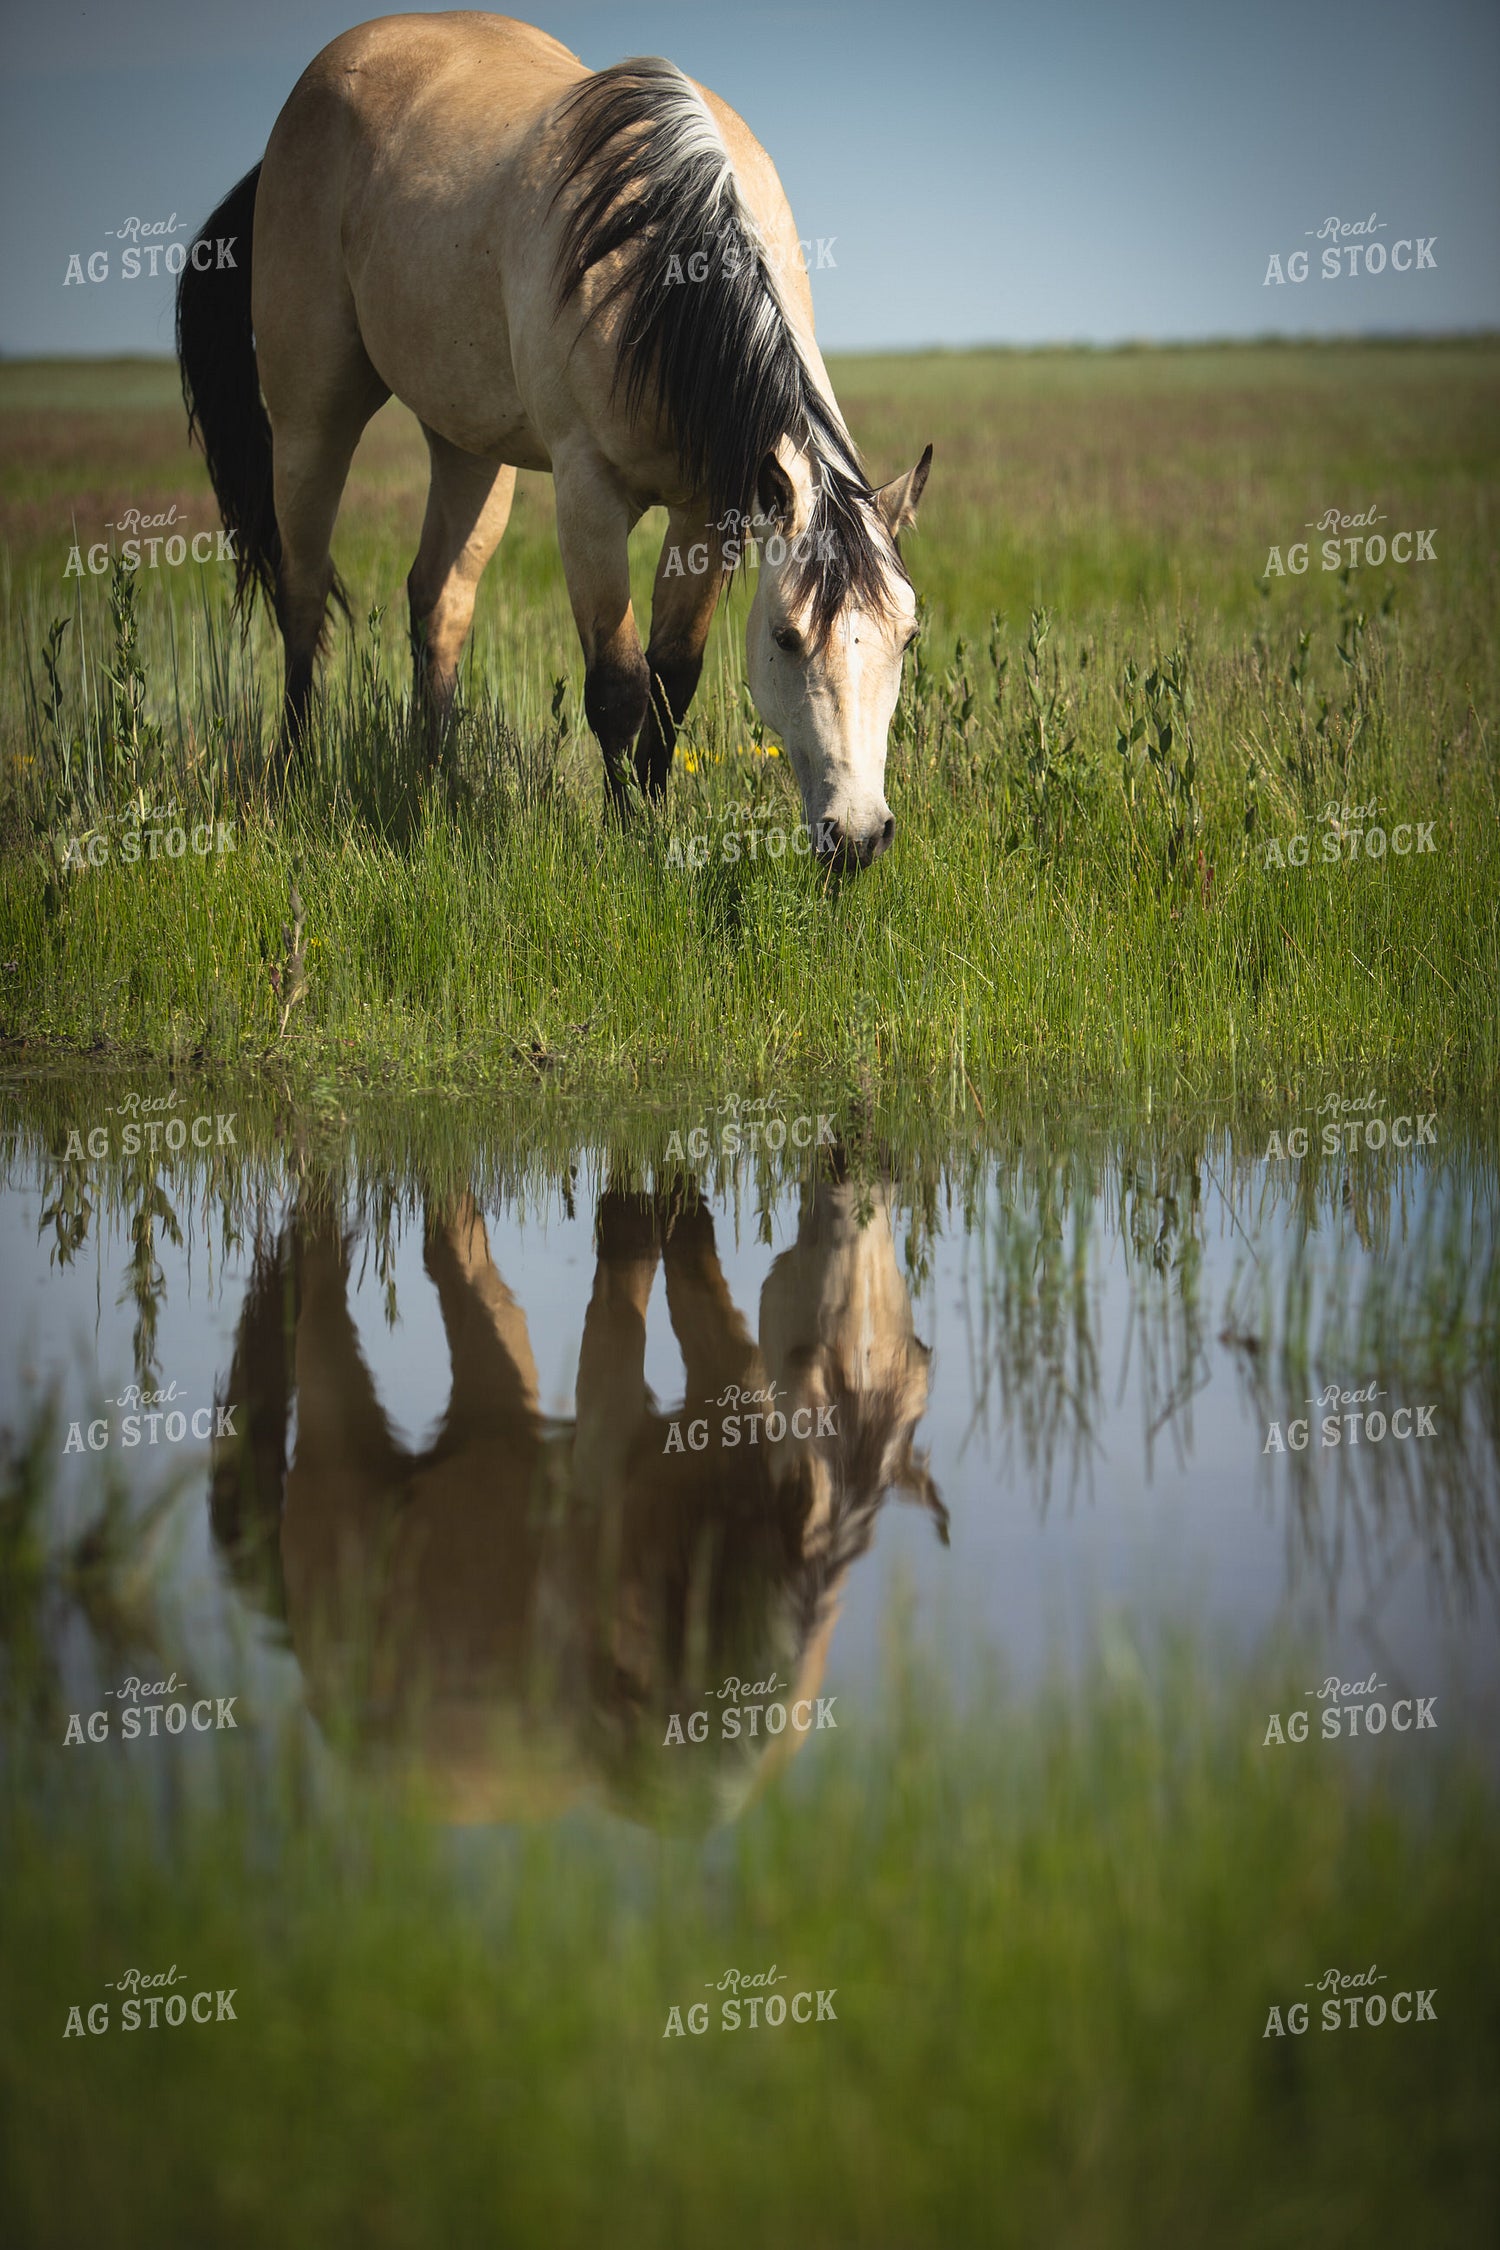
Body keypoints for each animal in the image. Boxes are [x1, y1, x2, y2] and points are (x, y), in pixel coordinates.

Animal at [175, 11, 932, 869]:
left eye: (907, 637)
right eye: (786, 635)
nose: (860, 836)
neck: (660, 267)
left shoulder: (708, 509)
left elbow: (673, 676)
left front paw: (654, 817)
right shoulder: (588, 497)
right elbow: (619, 685)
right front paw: (626, 836)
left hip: (469, 445)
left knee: (439, 601)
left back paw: (433, 782)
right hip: (312, 417)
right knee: (302, 592)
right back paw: (296, 774)